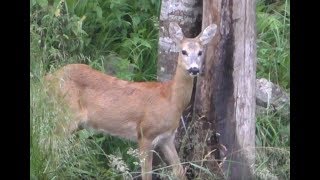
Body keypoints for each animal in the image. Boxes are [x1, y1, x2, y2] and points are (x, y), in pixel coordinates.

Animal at [45, 21, 218, 179]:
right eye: (184, 51)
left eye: (200, 52)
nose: (194, 69)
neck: (171, 99)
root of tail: (49, 78)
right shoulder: (145, 133)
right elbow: (147, 174)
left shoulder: (167, 137)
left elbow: (179, 171)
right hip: (67, 114)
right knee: (50, 144)